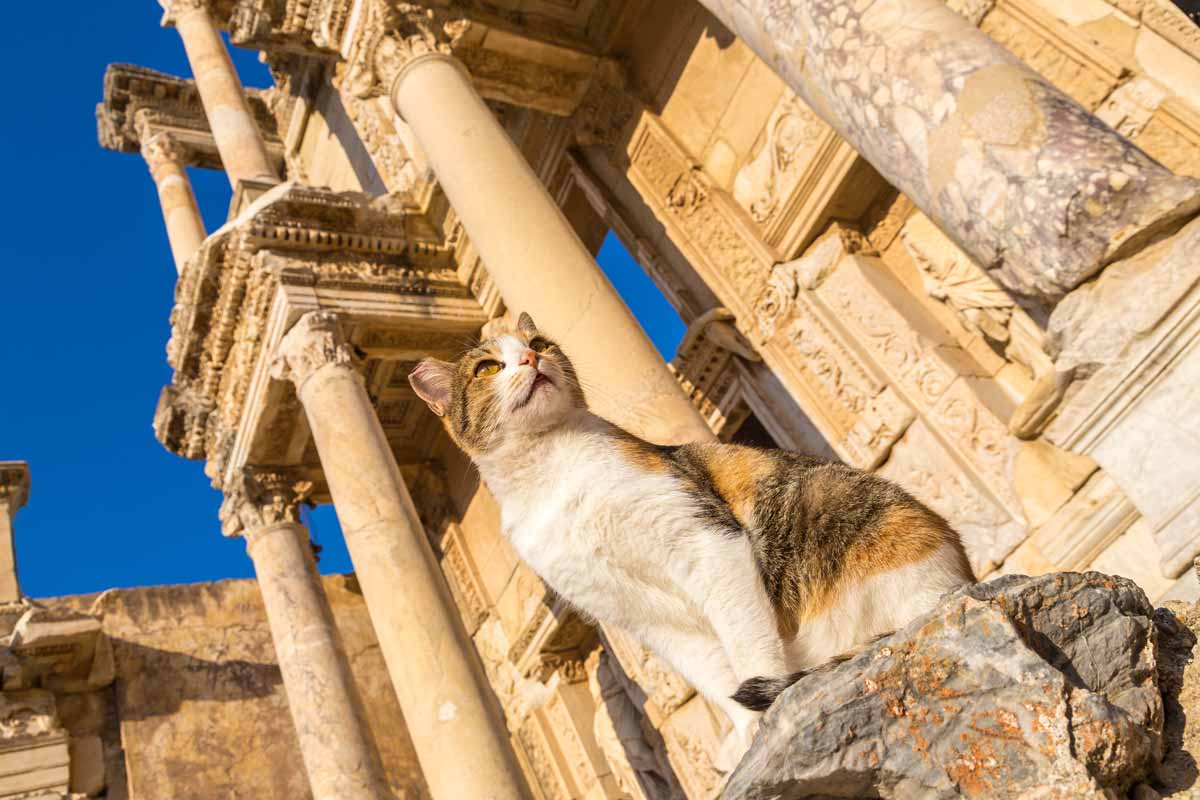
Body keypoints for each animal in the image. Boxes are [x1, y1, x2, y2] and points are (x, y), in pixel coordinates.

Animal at [410, 314, 974, 758]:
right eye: (487, 368)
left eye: (542, 342)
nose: (530, 356)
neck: (548, 471)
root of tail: (959, 573)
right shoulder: (637, 615)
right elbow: (713, 675)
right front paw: (746, 730)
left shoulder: (705, 540)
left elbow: (745, 645)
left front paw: (765, 720)